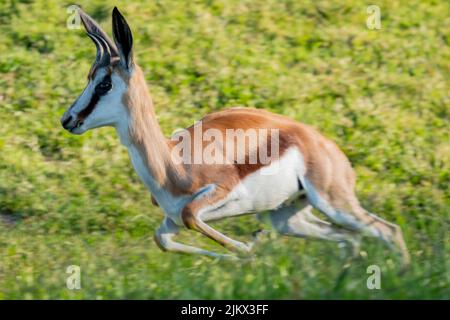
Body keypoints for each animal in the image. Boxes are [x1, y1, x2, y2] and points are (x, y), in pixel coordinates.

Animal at [60, 8, 412, 268]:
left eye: (104, 84)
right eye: (89, 77)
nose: (68, 120)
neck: (171, 163)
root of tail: (328, 147)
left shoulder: (217, 193)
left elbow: (192, 218)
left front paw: (250, 246)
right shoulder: (171, 219)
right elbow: (163, 240)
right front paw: (247, 250)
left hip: (333, 201)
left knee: (389, 230)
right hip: (288, 217)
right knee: (350, 238)